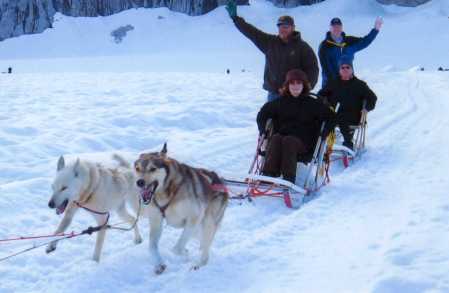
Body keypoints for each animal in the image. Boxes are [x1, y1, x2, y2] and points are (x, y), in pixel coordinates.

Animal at [134, 144, 228, 274]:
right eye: (137, 168)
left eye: (152, 168)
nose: (139, 182)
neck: (167, 192)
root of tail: (220, 180)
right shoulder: (156, 222)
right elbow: (152, 247)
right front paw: (159, 264)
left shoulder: (194, 218)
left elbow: (176, 248)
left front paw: (184, 253)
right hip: (198, 228)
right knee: (202, 242)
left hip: (207, 223)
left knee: (205, 247)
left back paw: (199, 264)